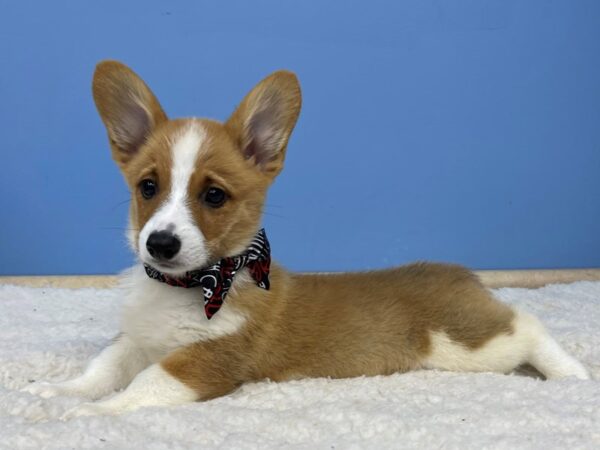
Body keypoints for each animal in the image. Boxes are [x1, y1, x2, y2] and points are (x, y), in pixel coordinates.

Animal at [24, 60, 592, 418]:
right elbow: (102, 367)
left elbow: (141, 386)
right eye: (148, 187)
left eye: (214, 196)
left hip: (469, 349)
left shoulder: (204, 362)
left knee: (527, 324)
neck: (189, 286)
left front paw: (86, 416)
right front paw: (56, 391)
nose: (160, 244)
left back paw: (575, 374)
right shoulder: (136, 341)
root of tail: (456, 274)